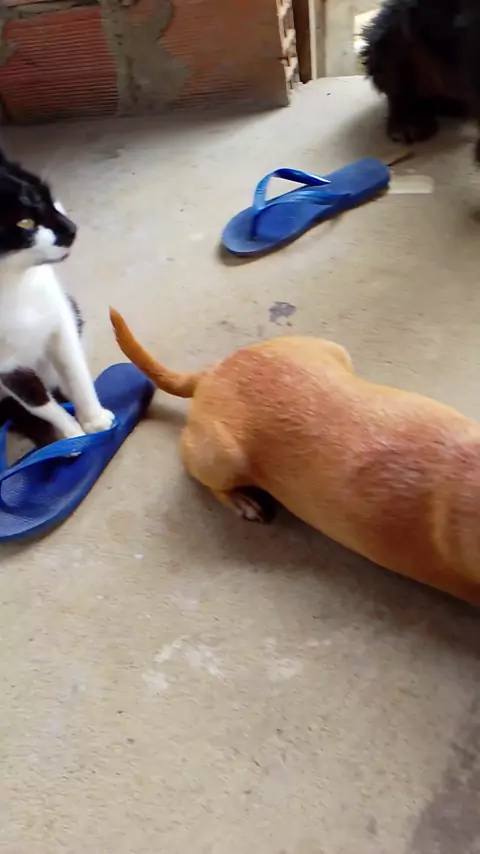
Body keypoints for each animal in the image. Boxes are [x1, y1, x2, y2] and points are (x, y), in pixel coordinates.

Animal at [0, 148, 114, 449]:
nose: (72, 228)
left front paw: (94, 420)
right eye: (25, 222)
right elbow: (36, 401)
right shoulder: (5, 367)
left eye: (50, 199)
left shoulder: (57, 316)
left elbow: (74, 369)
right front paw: (72, 437)